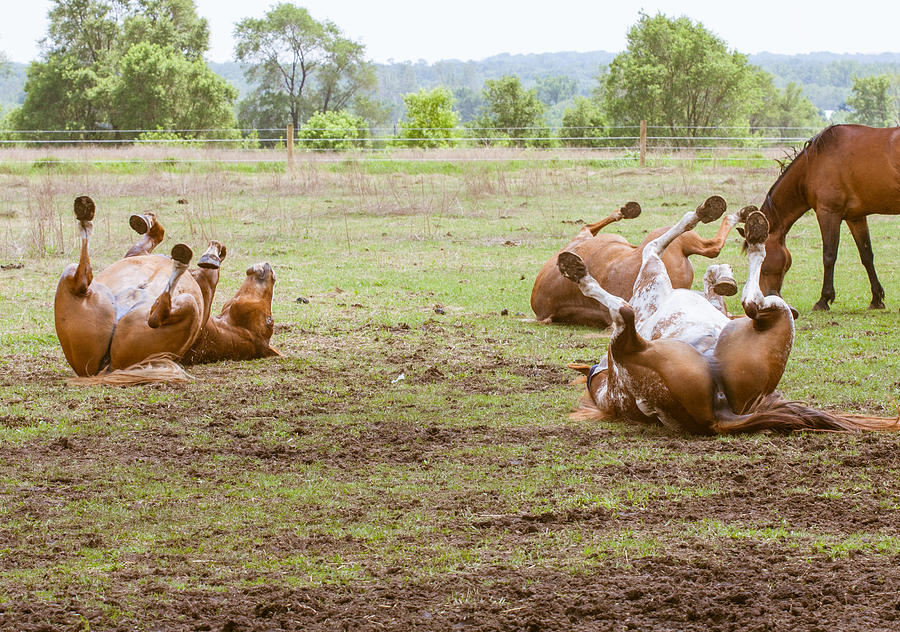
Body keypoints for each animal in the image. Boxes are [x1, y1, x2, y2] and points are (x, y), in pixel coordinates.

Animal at [54, 195, 278, 382]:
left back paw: (179, 263)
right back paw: (85, 215)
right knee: (82, 278)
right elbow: (157, 234)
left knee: (155, 315)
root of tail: (106, 368)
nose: (271, 271)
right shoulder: (138, 253)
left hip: (188, 305)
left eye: (270, 321)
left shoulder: (206, 282)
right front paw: (145, 220)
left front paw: (210, 255)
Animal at [560, 204, 896, 434]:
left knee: (753, 303)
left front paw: (722, 268)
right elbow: (657, 245)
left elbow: (690, 262)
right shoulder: (651, 271)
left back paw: (756, 233)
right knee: (751, 303)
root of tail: (721, 411)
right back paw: (578, 273)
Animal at [760, 124, 900, 312]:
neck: (813, 164)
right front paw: (876, 299)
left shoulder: (828, 213)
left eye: (762, 264)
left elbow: (829, 255)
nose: (764, 299)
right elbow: (866, 255)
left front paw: (823, 299)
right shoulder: (856, 218)